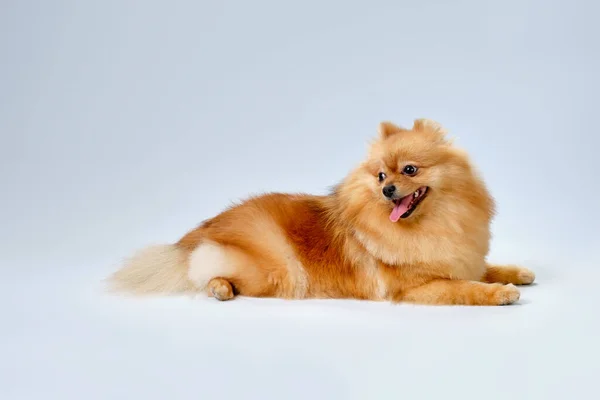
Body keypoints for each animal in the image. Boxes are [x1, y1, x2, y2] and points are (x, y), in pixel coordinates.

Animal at [108, 119, 536, 306]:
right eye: (381, 175)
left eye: (410, 170)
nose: (386, 189)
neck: (439, 220)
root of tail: (201, 230)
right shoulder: (417, 286)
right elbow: (466, 288)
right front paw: (500, 292)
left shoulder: (460, 257)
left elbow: (484, 267)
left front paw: (518, 273)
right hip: (277, 267)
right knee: (207, 273)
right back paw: (220, 288)